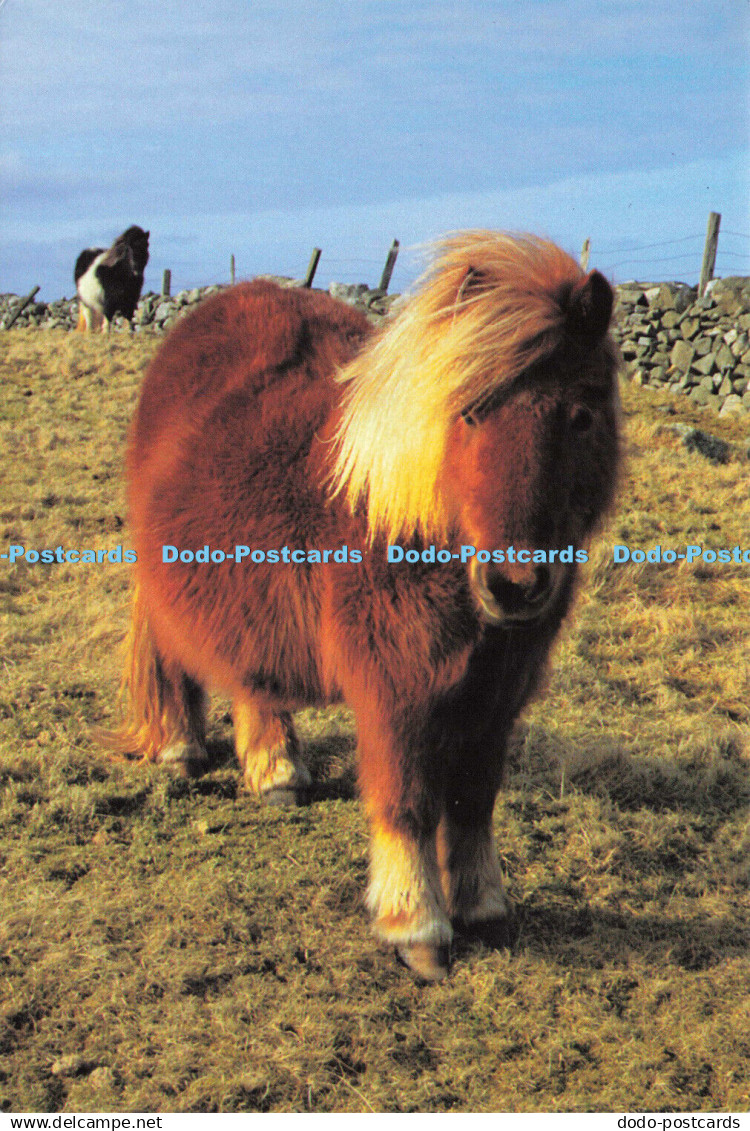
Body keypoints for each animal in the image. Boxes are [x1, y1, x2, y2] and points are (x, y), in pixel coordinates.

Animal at [110, 231, 621, 980]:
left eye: (581, 416)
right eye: (469, 411)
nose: (515, 585)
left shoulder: (496, 690)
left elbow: (474, 796)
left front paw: (485, 909)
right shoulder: (394, 688)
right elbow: (407, 799)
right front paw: (418, 927)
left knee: (254, 678)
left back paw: (277, 771)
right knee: (172, 655)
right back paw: (180, 747)